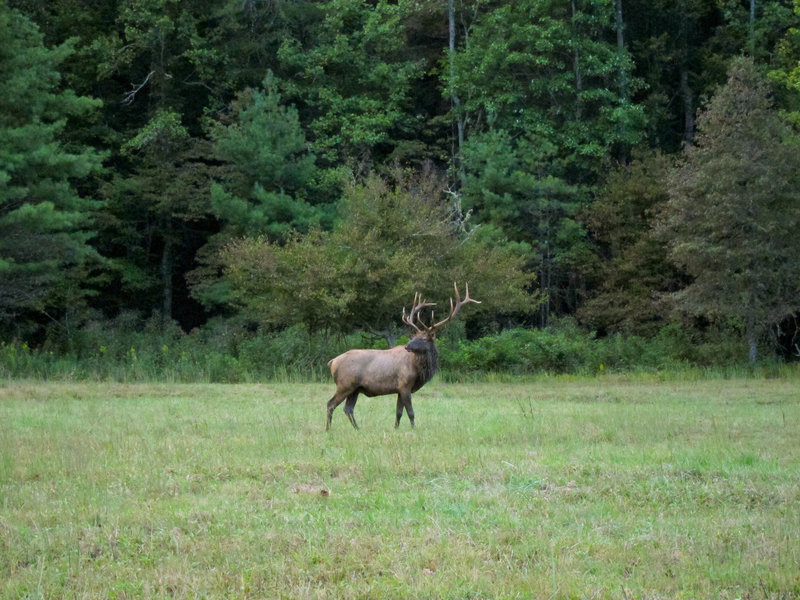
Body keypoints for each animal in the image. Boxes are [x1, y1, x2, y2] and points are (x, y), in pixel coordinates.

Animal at [324, 282, 482, 428]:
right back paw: (328, 429)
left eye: (424, 338)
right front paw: (413, 429)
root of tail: (332, 362)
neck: (419, 371)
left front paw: (395, 429)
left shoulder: (400, 388)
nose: (407, 346)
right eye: (415, 336)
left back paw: (357, 429)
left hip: (355, 388)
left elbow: (399, 412)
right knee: (331, 404)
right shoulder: (405, 384)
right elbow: (410, 412)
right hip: (345, 384)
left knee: (348, 408)